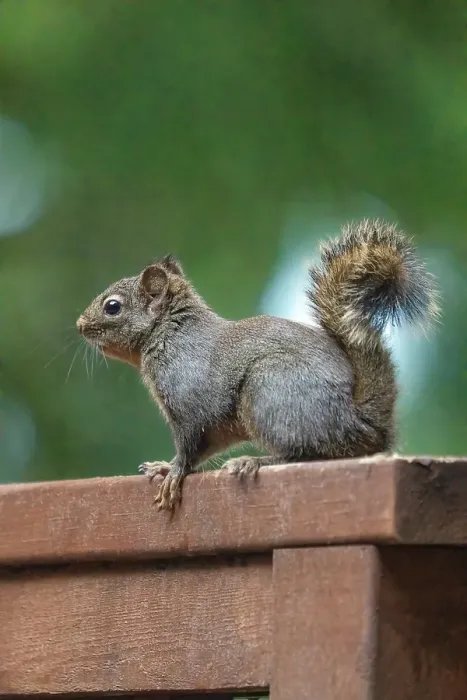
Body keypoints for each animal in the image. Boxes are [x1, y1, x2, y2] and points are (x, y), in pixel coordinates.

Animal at [77, 219, 439, 511]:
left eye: (112, 307)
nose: (80, 325)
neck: (169, 333)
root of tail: (363, 420)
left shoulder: (188, 402)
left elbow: (188, 445)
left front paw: (174, 474)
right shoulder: (214, 427)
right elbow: (204, 447)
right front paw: (164, 467)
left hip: (270, 390)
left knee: (308, 455)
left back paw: (255, 460)